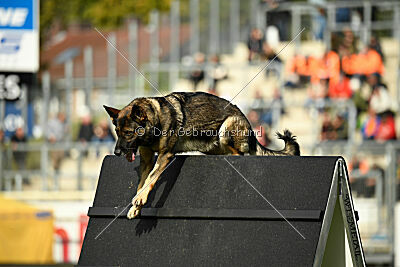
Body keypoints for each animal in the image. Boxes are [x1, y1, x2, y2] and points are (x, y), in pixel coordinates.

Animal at [104, 91, 298, 219]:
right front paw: (136, 206)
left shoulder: (165, 155)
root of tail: (248, 123)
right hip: (211, 144)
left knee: (240, 154)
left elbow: (151, 178)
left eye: (128, 133)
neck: (156, 119)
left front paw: (139, 199)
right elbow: (142, 183)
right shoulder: (146, 160)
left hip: (225, 129)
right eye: (117, 132)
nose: (116, 152)